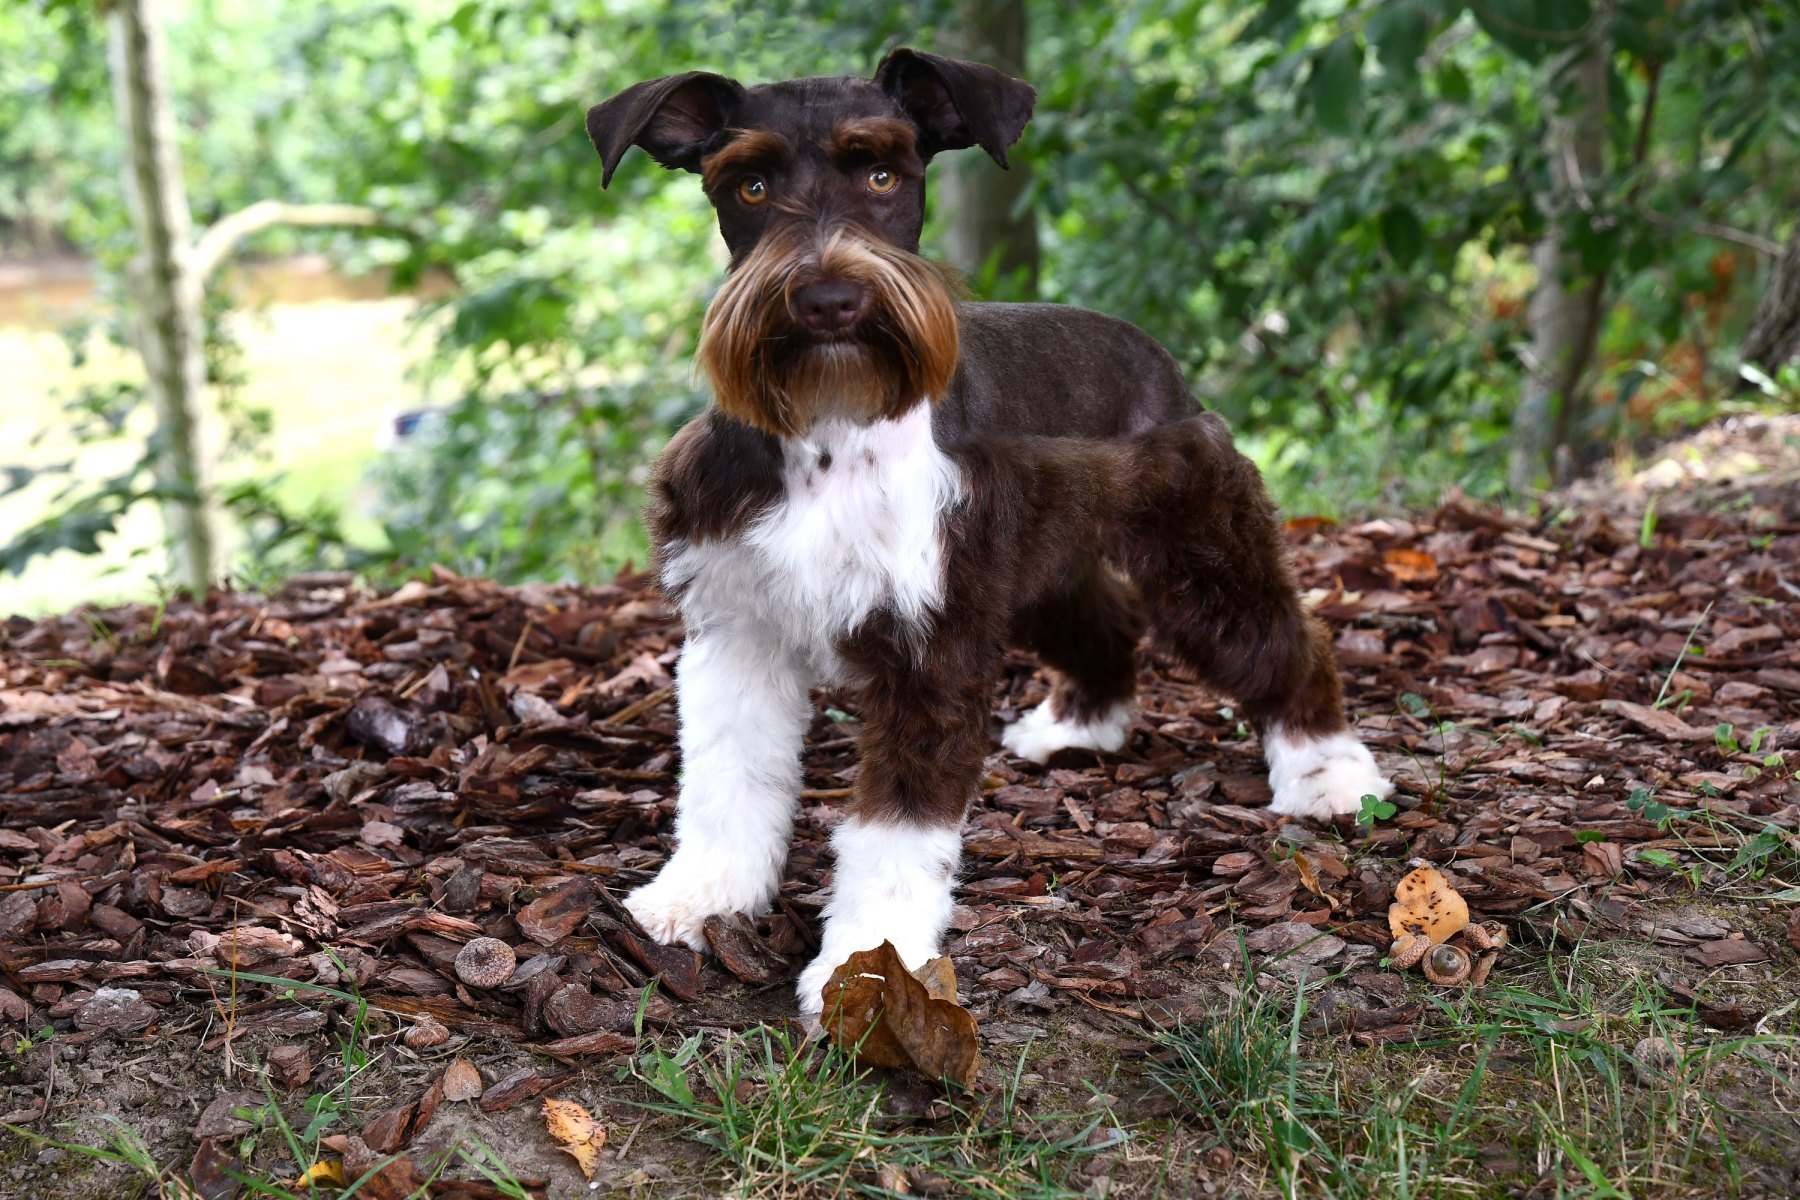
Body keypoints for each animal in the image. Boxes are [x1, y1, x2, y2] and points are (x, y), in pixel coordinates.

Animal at [583, 47, 1382, 1014]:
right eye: (750, 184)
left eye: (885, 174)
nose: (829, 300)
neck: (829, 423)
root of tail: (1160, 359)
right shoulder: (739, 632)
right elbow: (729, 781)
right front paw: (702, 896)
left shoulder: (934, 649)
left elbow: (895, 831)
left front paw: (869, 965)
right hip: (1045, 575)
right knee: (1108, 626)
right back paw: (1080, 727)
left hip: (1202, 554)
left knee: (1282, 640)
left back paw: (1330, 775)